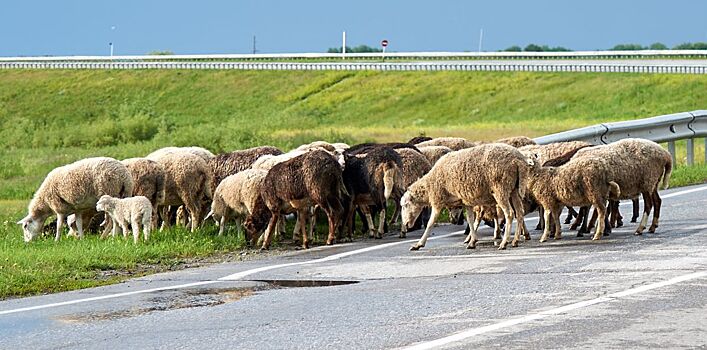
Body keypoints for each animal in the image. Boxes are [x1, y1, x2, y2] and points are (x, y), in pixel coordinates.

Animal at [402, 144, 532, 250]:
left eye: (405, 205)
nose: (406, 224)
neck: (428, 186)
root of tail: (518, 160)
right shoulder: (466, 201)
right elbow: (470, 220)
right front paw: (472, 241)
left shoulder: (437, 200)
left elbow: (430, 223)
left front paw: (419, 244)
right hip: (514, 189)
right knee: (519, 212)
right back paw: (515, 240)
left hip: (501, 188)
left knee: (509, 214)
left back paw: (504, 243)